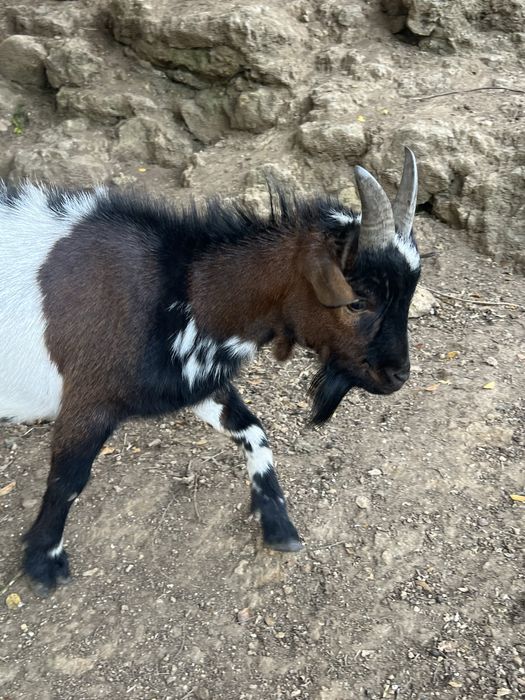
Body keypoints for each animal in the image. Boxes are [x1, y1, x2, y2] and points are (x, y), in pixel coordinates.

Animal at [0, 148, 420, 595]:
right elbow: (68, 481)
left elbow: (254, 429)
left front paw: (278, 524)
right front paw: (44, 562)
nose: (398, 376)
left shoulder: (197, 383)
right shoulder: (88, 402)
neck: (176, 294)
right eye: (357, 301)